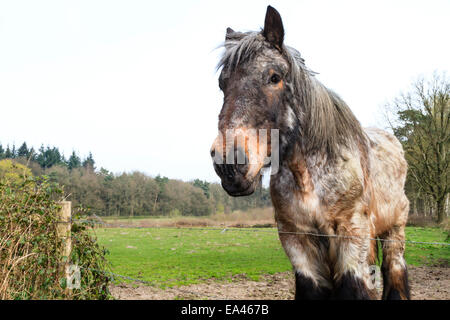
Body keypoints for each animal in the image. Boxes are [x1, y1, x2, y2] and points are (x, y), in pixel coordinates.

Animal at [211, 5, 412, 300]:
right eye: (222, 84)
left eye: (274, 77)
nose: (229, 162)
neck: (309, 177)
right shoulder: (297, 238)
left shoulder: (352, 235)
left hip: (394, 232)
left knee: (395, 270)